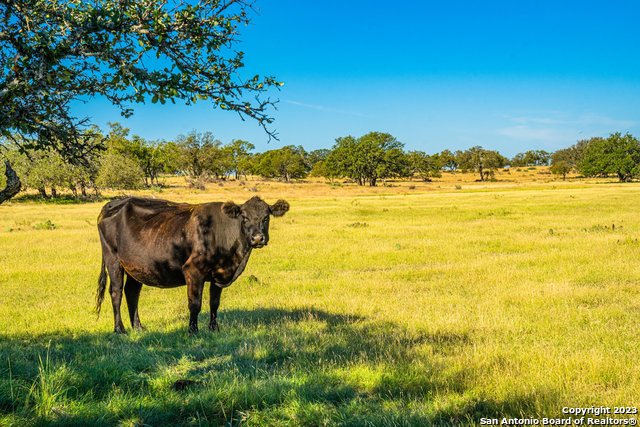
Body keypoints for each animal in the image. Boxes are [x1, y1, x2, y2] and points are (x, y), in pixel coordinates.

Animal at [95, 196, 290, 334]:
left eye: (266, 217)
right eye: (244, 217)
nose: (257, 238)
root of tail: (114, 203)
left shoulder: (219, 273)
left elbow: (214, 303)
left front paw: (214, 328)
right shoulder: (193, 270)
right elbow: (195, 303)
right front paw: (193, 330)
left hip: (137, 266)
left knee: (132, 293)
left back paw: (138, 327)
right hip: (113, 258)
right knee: (116, 292)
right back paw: (119, 329)